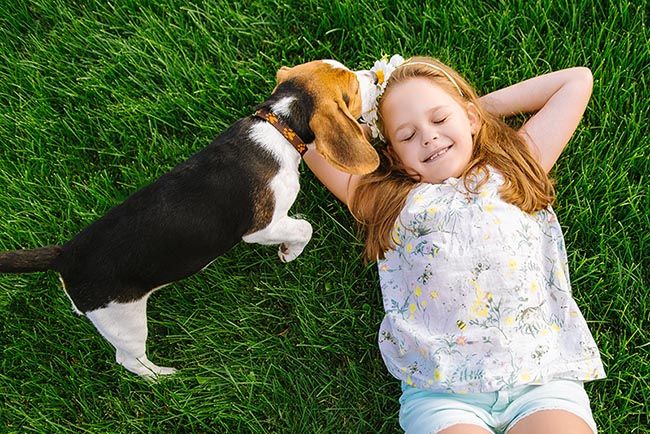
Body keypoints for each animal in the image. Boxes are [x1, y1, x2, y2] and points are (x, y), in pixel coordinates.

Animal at [0, 59, 378, 378]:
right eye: (352, 90)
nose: (374, 77)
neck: (278, 124)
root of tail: (66, 255)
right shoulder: (261, 227)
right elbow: (303, 227)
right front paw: (289, 252)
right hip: (123, 319)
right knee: (129, 360)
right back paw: (163, 377)